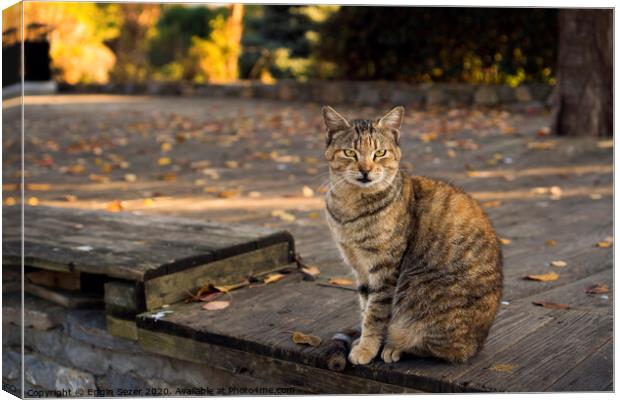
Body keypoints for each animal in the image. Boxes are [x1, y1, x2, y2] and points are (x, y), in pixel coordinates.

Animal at [324, 106, 504, 366]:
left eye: (380, 153)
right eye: (350, 152)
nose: (365, 171)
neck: (350, 205)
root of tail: (477, 345)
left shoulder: (384, 268)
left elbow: (375, 313)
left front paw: (367, 347)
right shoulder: (359, 266)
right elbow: (365, 305)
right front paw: (364, 341)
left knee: (438, 348)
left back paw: (394, 347)